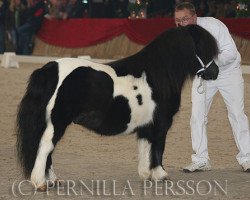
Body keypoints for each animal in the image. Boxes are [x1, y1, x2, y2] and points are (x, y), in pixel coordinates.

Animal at [16, 24, 219, 190]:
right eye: (201, 48)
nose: (215, 72)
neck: (158, 74)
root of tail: (48, 70)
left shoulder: (146, 125)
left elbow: (145, 148)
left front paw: (146, 175)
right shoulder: (161, 123)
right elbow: (158, 148)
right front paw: (161, 175)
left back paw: (52, 180)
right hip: (57, 122)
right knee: (45, 146)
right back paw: (40, 183)